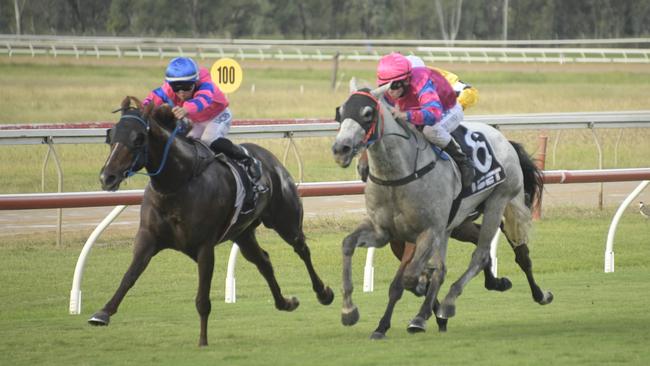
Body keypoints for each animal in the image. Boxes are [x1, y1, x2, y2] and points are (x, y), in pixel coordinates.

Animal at [90, 96, 334, 346]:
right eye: (110, 135)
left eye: (139, 138)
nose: (107, 177)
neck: (178, 182)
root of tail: (270, 160)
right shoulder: (148, 237)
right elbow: (129, 276)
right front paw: (102, 313)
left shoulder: (204, 246)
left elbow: (202, 298)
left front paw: (203, 340)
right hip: (243, 233)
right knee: (263, 261)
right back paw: (285, 302)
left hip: (286, 220)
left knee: (302, 249)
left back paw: (323, 293)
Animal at [330, 84, 552, 338]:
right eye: (340, 112)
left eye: (368, 113)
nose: (341, 149)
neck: (398, 177)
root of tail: (504, 140)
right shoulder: (383, 232)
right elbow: (348, 244)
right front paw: (349, 311)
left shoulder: (427, 232)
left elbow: (408, 279)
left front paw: (411, 310)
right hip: (457, 224)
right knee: (465, 253)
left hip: (499, 203)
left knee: (488, 253)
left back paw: (452, 302)